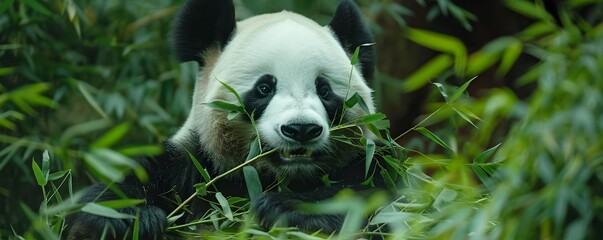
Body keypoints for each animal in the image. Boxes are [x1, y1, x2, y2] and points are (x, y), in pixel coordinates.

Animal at [66, 0, 382, 239]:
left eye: (324, 90)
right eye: (264, 88)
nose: (301, 129)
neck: (275, 176)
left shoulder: (365, 163)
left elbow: (370, 197)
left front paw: (287, 209)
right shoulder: (192, 165)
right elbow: (107, 199)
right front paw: (130, 218)